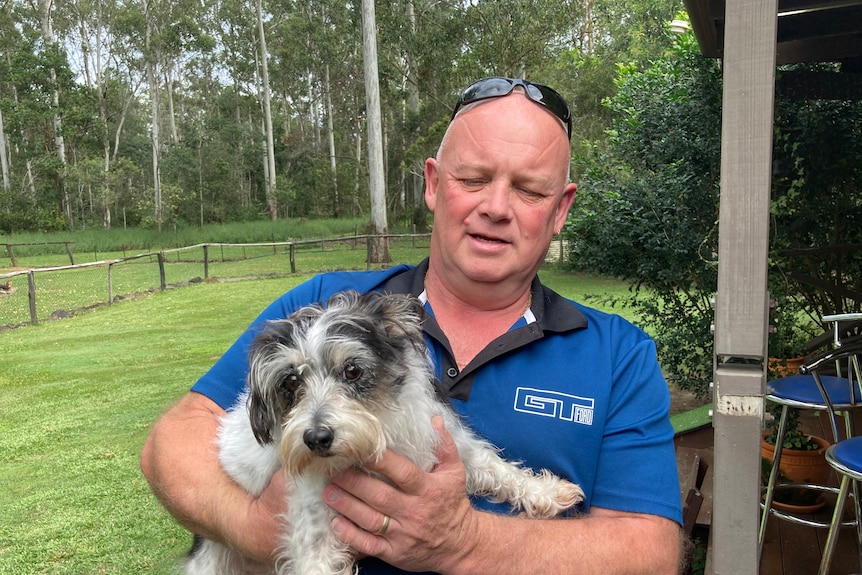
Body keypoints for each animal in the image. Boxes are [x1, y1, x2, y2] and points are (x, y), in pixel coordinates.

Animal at [186, 292, 584, 575]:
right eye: (291, 382)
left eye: (351, 370)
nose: (316, 439)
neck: (380, 429)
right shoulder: (313, 523)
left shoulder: (448, 440)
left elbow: (495, 466)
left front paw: (546, 492)